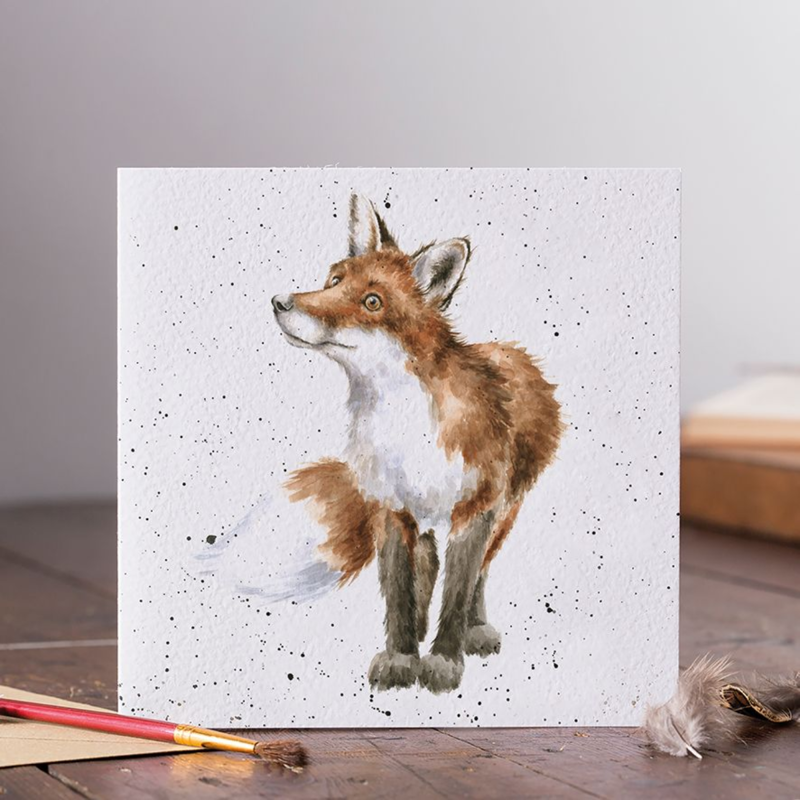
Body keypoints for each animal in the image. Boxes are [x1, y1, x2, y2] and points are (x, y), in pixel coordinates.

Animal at [266, 195, 564, 694]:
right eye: (334, 280)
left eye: (372, 302)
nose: (280, 302)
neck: (407, 431)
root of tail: (513, 351)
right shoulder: (390, 510)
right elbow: (400, 593)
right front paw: (403, 656)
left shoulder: (475, 510)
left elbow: (458, 590)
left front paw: (443, 659)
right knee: (428, 569)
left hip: (506, 510)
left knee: (480, 573)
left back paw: (474, 630)